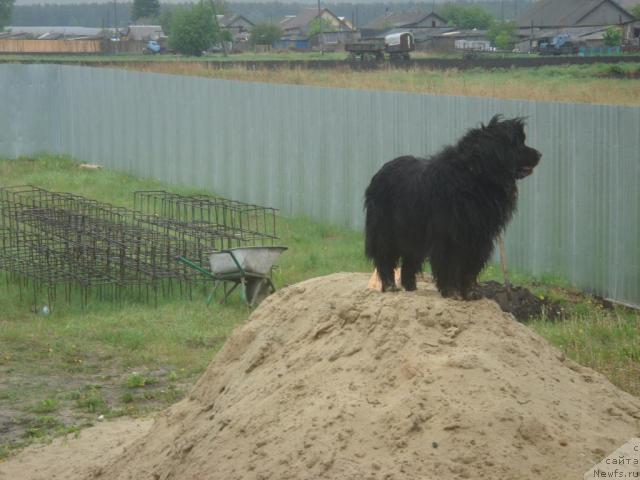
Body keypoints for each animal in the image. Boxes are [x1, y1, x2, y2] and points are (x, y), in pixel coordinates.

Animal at [364, 114, 540, 298]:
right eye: (517, 144)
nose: (539, 154)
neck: (474, 175)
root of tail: (381, 171)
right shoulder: (449, 234)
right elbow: (448, 263)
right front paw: (451, 291)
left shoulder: (478, 237)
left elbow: (470, 266)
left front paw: (469, 292)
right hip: (386, 230)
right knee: (385, 257)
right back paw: (390, 285)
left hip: (414, 233)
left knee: (409, 260)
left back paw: (411, 287)